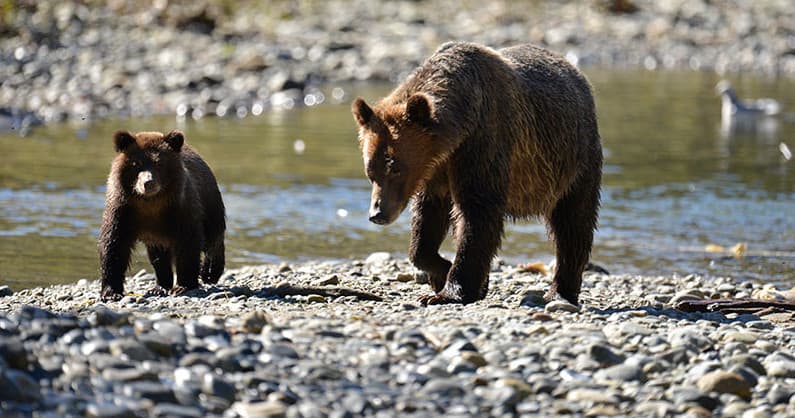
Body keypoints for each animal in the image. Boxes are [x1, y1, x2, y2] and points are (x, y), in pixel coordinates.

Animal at [98, 130, 226, 301]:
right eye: (136, 164)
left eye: (159, 163)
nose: (148, 182)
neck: (150, 203)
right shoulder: (122, 211)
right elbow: (114, 245)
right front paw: (110, 292)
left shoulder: (181, 208)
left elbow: (189, 242)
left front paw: (183, 285)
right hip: (156, 238)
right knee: (159, 257)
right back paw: (159, 287)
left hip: (209, 200)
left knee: (213, 236)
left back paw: (210, 272)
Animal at [351, 42, 602, 305]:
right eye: (371, 171)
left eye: (396, 167)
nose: (378, 214)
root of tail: (576, 73)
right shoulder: (437, 170)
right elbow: (427, 219)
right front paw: (442, 274)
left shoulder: (483, 142)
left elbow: (478, 212)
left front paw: (450, 291)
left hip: (573, 160)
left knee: (573, 222)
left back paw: (561, 292)